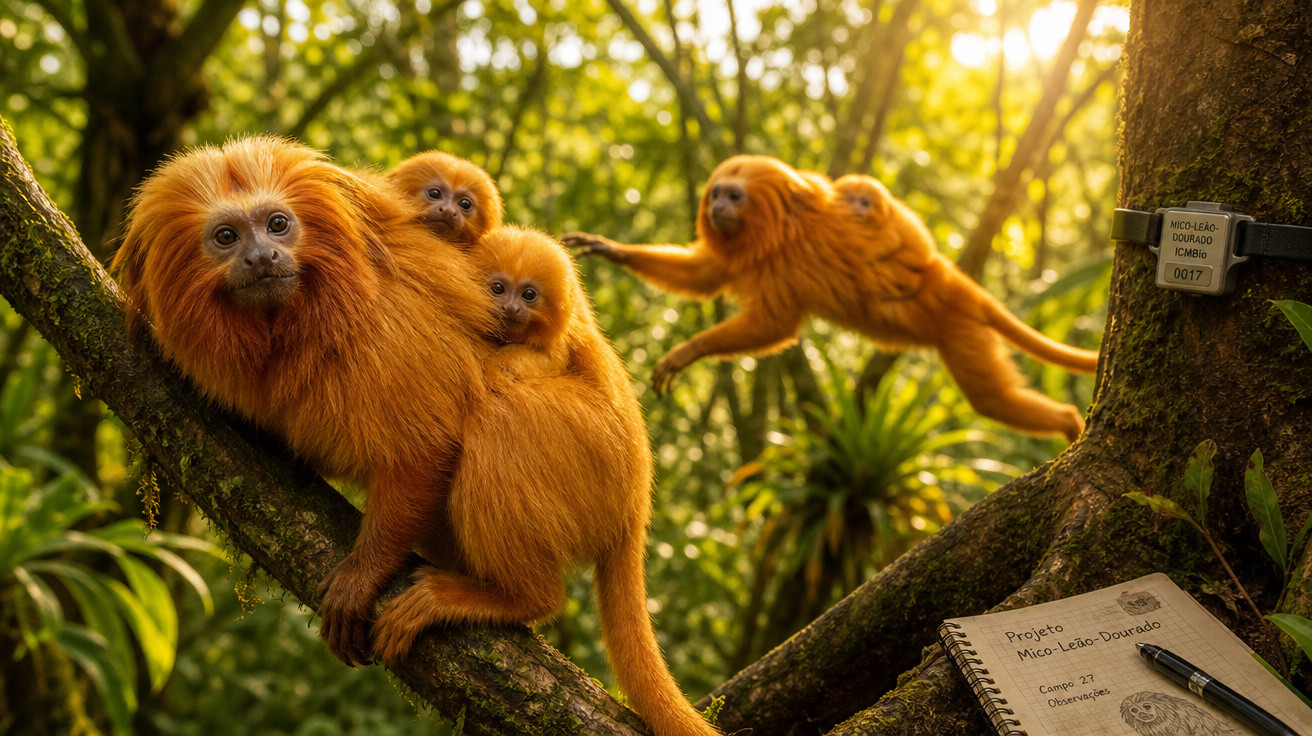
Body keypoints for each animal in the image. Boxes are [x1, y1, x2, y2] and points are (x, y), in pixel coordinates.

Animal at [112, 138, 719, 736]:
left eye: (278, 224)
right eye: (227, 237)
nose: (262, 258)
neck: (300, 314)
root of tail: (637, 498)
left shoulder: (388, 328)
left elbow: (425, 447)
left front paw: (363, 575)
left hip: (593, 443)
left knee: (500, 415)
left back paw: (515, 597)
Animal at [564, 155, 1100, 442]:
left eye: (733, 196)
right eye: (715, 194)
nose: (716, 207)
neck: (779, 224)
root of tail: (951, 282)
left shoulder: (786, 263)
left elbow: (775, 325)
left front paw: (688, 351)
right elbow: (705, 275)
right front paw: (612, 249)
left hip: (958, 323)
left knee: (989, 399)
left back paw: (1070, 423)